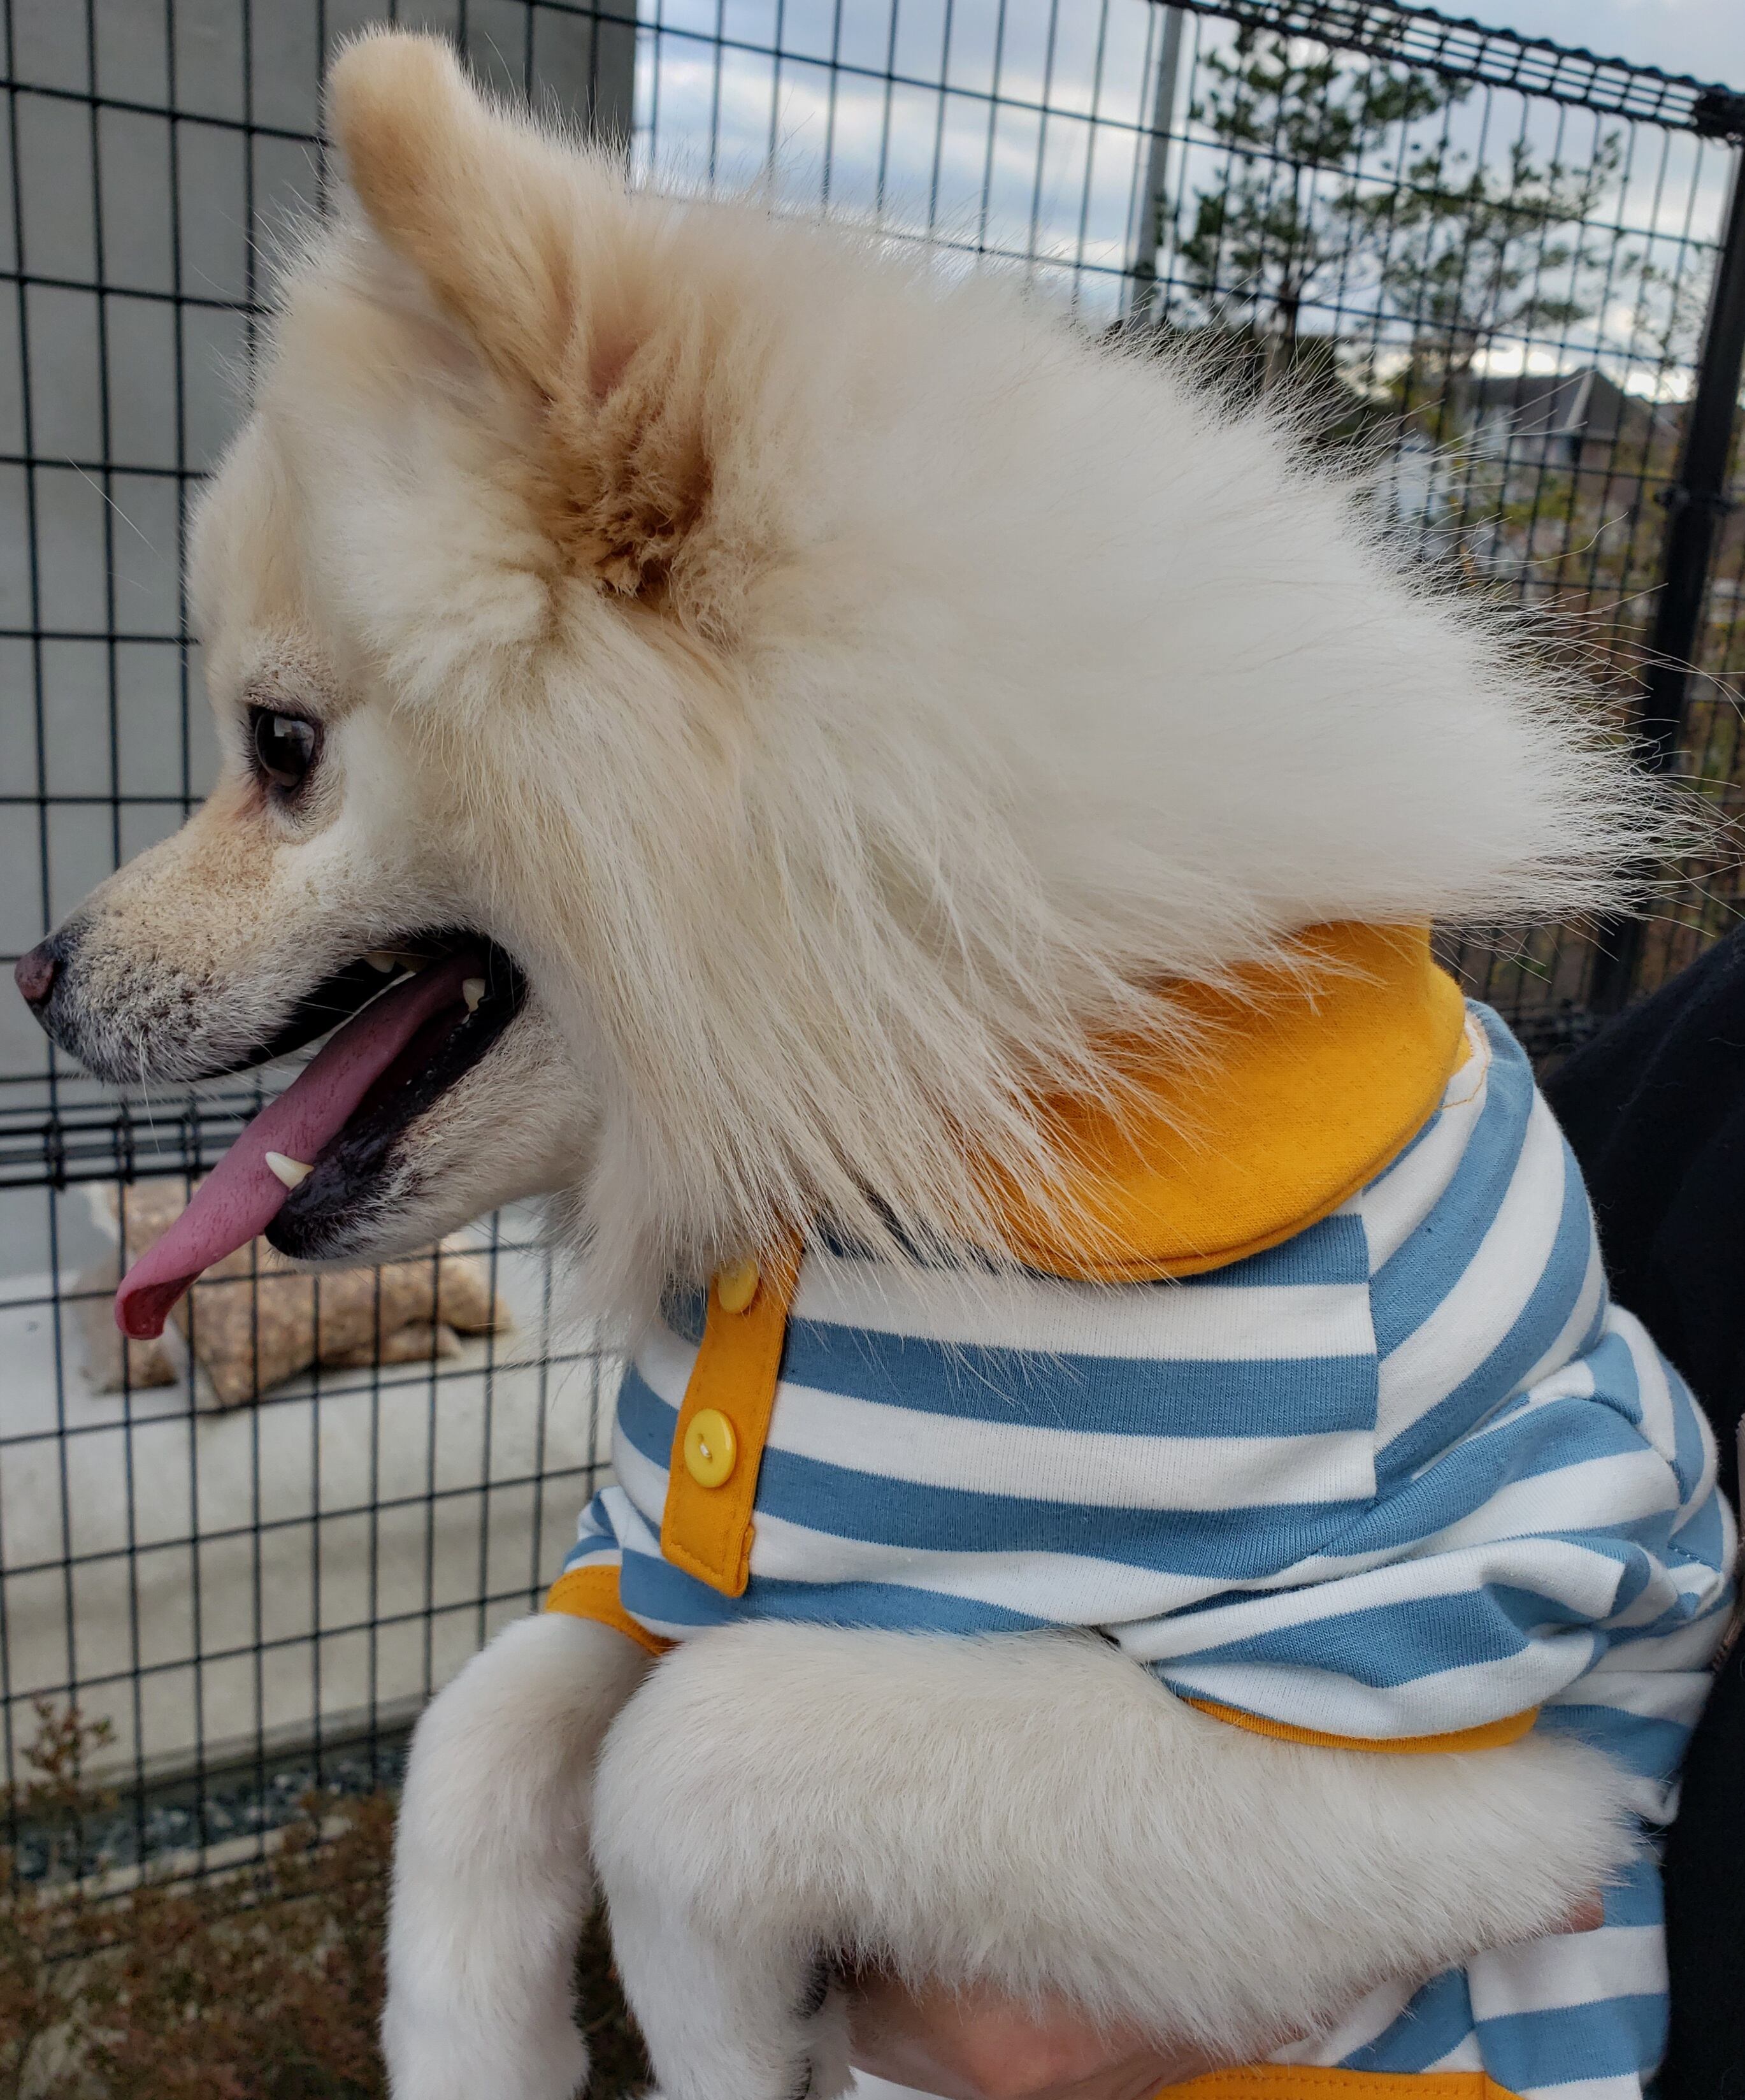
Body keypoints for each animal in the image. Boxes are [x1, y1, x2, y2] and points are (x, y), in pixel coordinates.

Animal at [15, 32, 1733, 2100]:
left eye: (279, 747)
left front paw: (733, 2047)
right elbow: (489, 1719)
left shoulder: (1442, 1732)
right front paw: (477, 2046)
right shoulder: (683, 1546)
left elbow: (687, 1759)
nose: (32, 970)